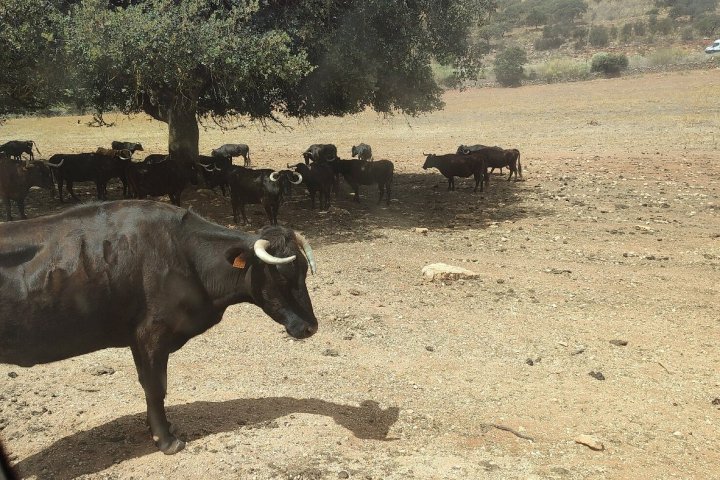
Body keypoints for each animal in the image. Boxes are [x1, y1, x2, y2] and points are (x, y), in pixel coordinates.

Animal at [0, 200, 318, 454]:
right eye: (281, 276)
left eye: (303, 271)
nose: (311, 327)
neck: (186, 255)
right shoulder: (152, 334)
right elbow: (156, 387)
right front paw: (166, 441)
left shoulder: (137, 339)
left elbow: (149, 384)